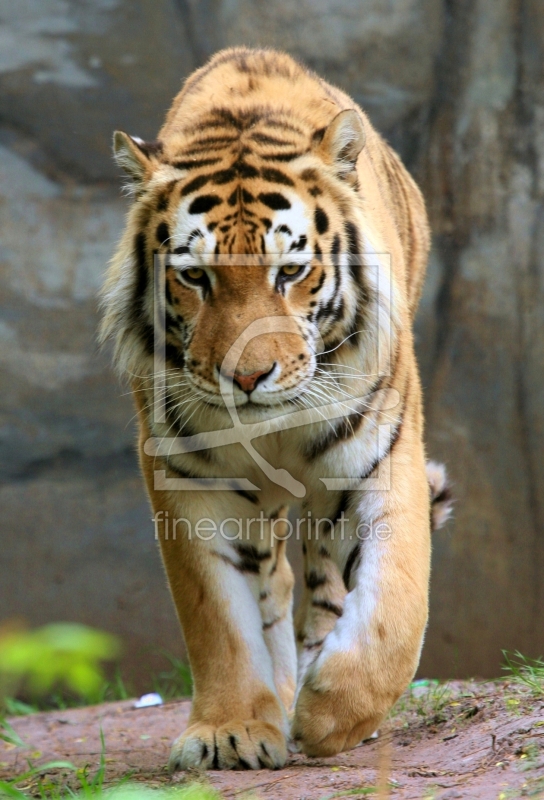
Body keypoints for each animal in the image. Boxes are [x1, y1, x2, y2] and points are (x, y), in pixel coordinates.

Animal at [100, 48, 452, 768]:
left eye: (289, 272)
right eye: (195, 276)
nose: (247, 376)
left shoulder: (380, 460)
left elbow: (396, 606)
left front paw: (331, 715)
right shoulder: (191, 482)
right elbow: (218, 616)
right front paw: (231, 730)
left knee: (323, 585)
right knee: (275, 586)